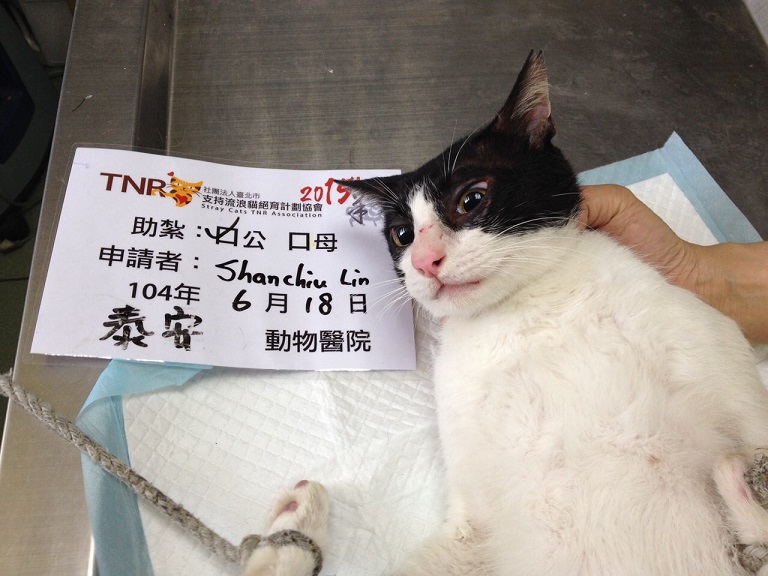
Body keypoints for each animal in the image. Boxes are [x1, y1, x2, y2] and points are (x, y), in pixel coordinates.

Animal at [243, 51, 768, 576]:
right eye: (402, 235)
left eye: (471, 199)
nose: (424, 260)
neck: (524, 316)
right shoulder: (471, 522)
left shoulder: (709, 350)